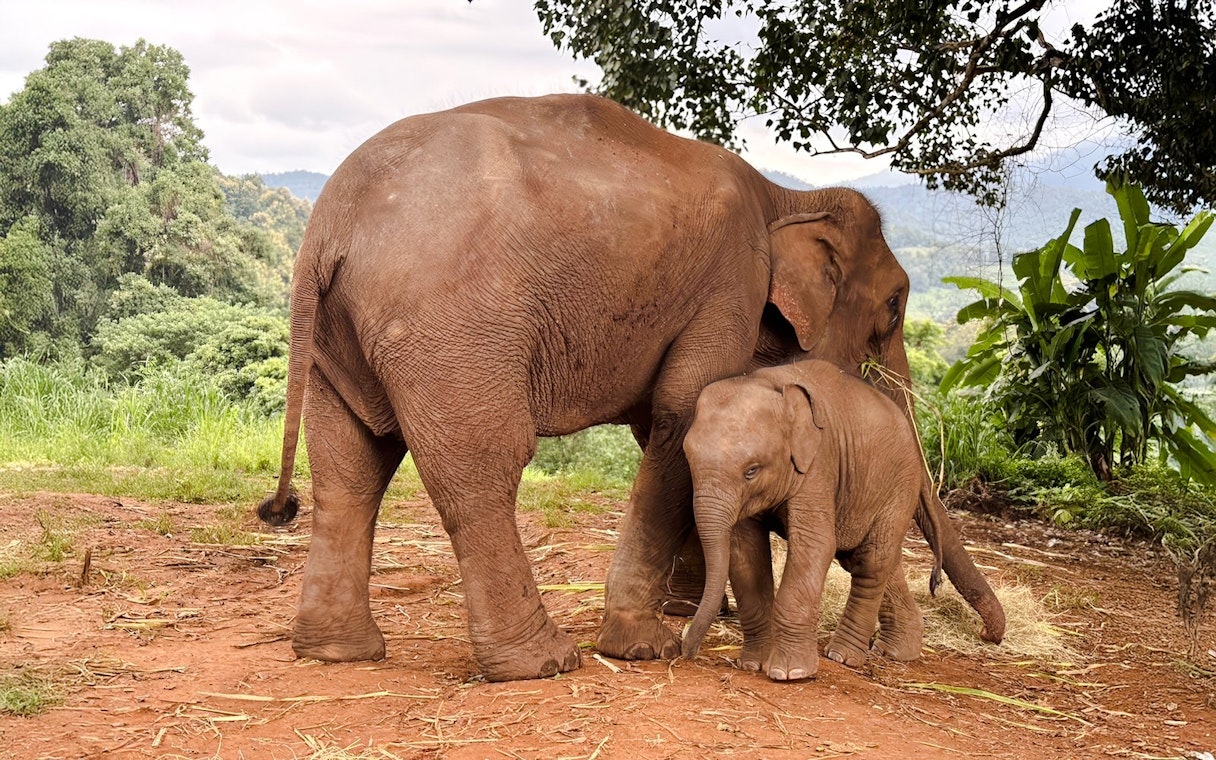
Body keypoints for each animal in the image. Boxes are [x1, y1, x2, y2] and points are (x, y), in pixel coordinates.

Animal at [681, 360, 931, 680]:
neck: (767, 382)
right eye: (689, 461)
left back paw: (843, 656)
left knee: (871, 561)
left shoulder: (820, 462)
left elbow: (815, 545)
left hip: (901, 483)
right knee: (873, 558)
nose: (685, 652)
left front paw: (790, 673)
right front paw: (753, 664)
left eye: (751, 470)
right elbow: (744, 551)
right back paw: (898, 651)